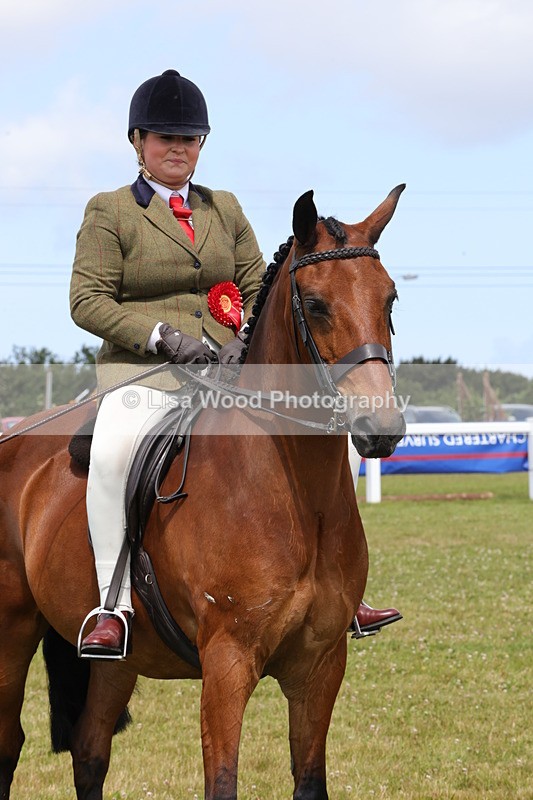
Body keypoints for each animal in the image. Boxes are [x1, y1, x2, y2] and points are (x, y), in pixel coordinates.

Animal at [0, 184, 406, 800]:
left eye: (390, 300)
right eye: (315, 304)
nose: (380, 428)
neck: (294, 493)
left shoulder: (320, 665)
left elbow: (310, 780)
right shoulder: (226, 663)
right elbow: (222, 782)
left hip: (115, 661)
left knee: (90, 751)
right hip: (10, 630)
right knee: (8, 746)